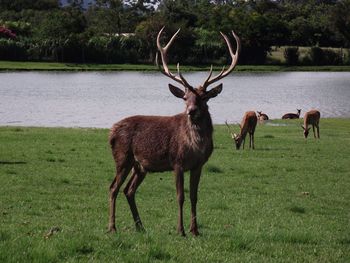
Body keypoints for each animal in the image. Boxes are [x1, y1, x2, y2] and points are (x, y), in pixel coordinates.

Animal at [108, 27, 241, 237]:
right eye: (185, 98)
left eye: (204, 97)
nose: (191, 111)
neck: (195, 147)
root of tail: (111, 132)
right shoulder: (177, 162)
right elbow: (180, 196)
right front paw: (181, 230)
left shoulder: (199, 165)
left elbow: (194, 196)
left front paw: (195, 230)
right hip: (123, 157)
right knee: (113, 187)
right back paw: (112, 227)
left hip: (140, 166)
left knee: (128, 190)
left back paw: (140, 226)